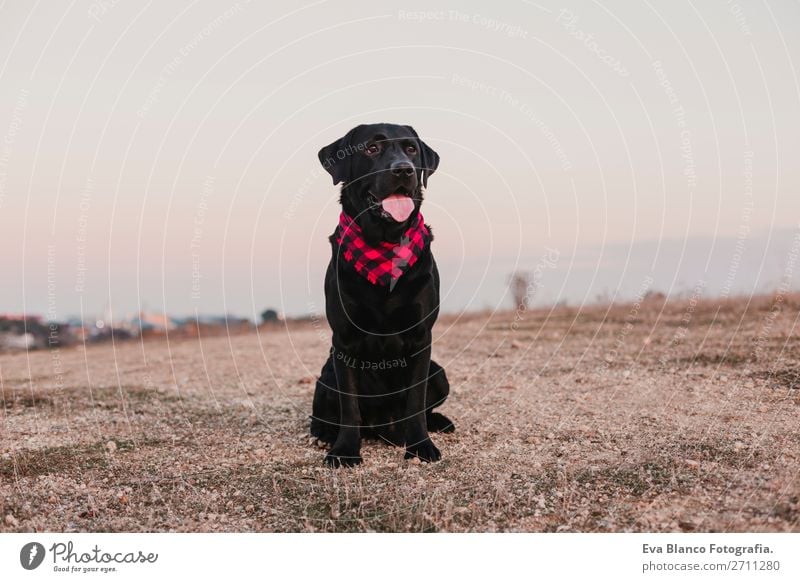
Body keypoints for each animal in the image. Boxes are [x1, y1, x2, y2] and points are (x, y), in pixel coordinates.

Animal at [310, 124, 454, 470]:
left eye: (411, 149)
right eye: (372, 149)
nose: (404, 169)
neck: (385, 244)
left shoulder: (421, 336)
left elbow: (415, 402)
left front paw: (420, 446)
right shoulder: (344, 339)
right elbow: (350, 406)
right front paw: (345, 450)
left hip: (439, 372)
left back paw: (437, 423)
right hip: (326, 376)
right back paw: (324, 434)